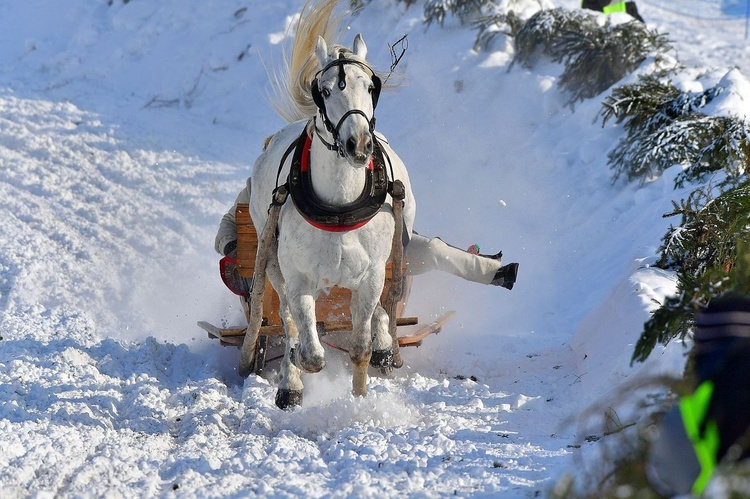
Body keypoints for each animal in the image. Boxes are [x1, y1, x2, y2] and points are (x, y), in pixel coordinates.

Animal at [241, 0, 418, 410]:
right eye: (323, 89)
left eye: (370, 86)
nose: (358, 144)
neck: (340, 206)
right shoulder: (298, 278)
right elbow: (309, 350)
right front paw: (296, 375)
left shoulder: (371, 276)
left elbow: (360, 347)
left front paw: (360, 400)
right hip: (270, 259)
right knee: (287, 318)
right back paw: (290, 380)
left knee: (384, 304)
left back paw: (384, 343)